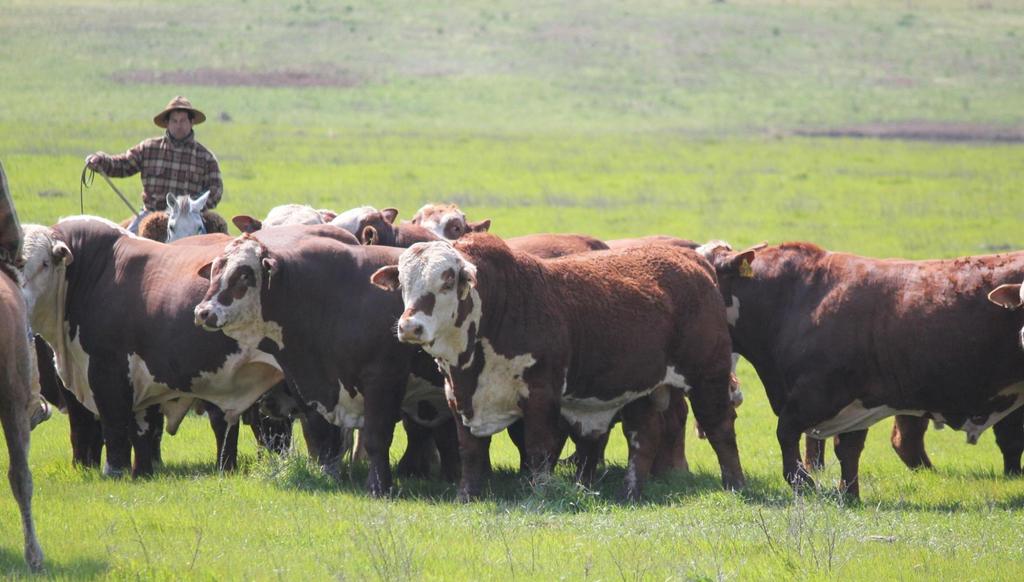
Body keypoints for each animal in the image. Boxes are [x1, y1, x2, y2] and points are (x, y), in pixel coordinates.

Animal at [193, 225, 458, 493]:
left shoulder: (383, 379)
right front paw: (328, 476)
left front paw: (378, 486)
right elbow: (323, 439)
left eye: (244, 275)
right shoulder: (311, 387)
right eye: (216, 270)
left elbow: (376, 438)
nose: (203, 311)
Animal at [372, 231, 749, 500]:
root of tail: (694, 263)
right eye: (404, 282)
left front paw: (539, 494)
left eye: (448, 279)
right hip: (642, 387)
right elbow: (470, 450)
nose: (409, 326)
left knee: (720, 428)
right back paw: (630, 492)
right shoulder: (459, 396)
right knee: (643, 435)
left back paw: (735, 485)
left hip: (708, 375)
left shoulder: (541, 394)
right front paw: (468, 495)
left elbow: (539, 449)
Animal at [704, 238, 1024, 497]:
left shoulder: (816, 393)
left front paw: (804, 482)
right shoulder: (855, 403)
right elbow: (848, 450)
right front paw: (849, 494)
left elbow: (787, 433)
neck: (796, 298)